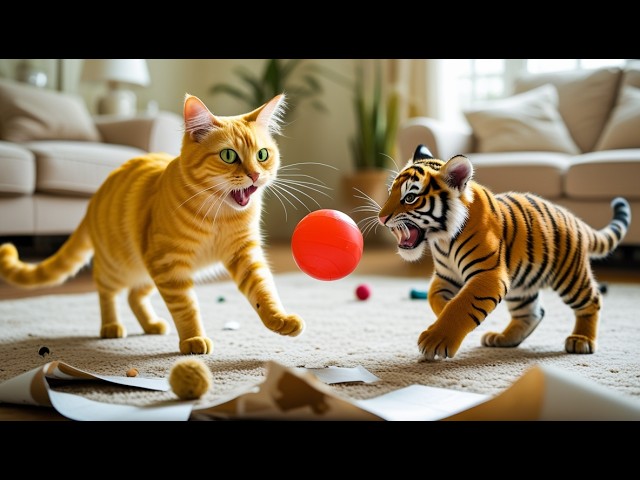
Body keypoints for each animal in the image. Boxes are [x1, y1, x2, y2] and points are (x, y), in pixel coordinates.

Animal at [0, 93, 304, 352]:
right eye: (229, 155)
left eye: (262, 155)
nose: (255, 175)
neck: (220, 216)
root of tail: (93, 200)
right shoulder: (170, 264)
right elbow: (186, 306)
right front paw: (193, 339)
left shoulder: (244, 254)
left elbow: (263, 291)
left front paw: (278, 319)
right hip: (120, 265)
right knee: (107, 291)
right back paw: (111, 325)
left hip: (145, 269)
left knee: (134, 296)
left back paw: (151, 325)